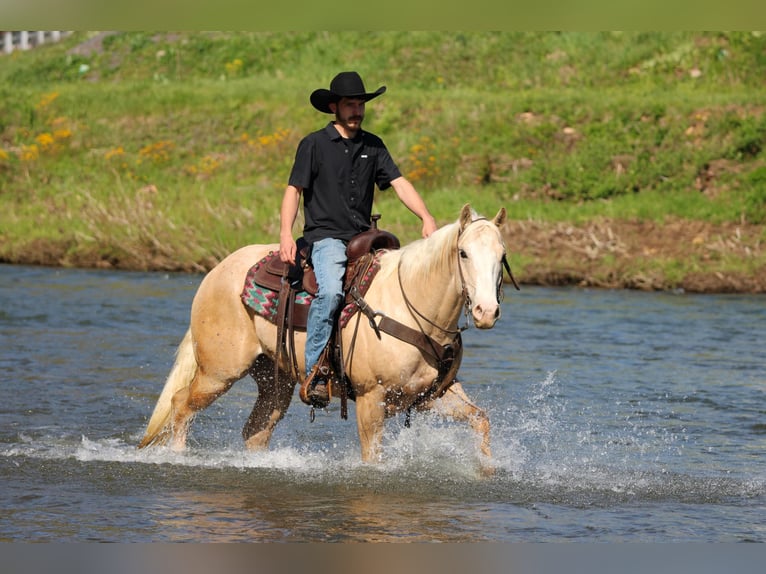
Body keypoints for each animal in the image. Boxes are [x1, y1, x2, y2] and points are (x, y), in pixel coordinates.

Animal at [138, 204, 513, 470]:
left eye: (502, 255)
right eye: (463, 253)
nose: (486, 311)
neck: (414, 307)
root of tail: (216, 271)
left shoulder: (433, 395)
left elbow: (481, 419)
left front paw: (487, 471)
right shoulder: (371, 398)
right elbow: (372, 458)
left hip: (274, 380)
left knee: (256, 430)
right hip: (219, 371)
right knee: (181, 405)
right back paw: (178, 458)